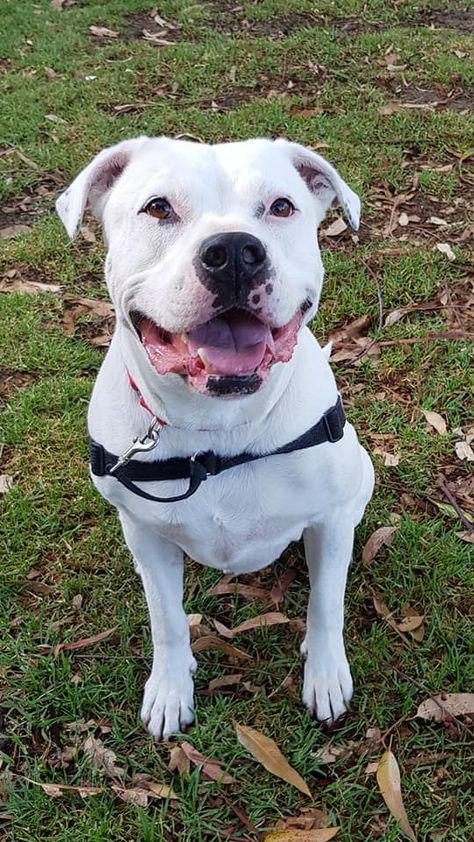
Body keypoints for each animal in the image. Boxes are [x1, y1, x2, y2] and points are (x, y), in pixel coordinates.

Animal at [56, 136, 374, 736]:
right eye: (158, 208)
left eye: (281, 207)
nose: (233, 251)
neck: (220, 426)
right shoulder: (146, 535)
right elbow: (166, 618)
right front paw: (170, 688)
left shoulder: (328, 521)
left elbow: (327, 603)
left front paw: (324, 675)